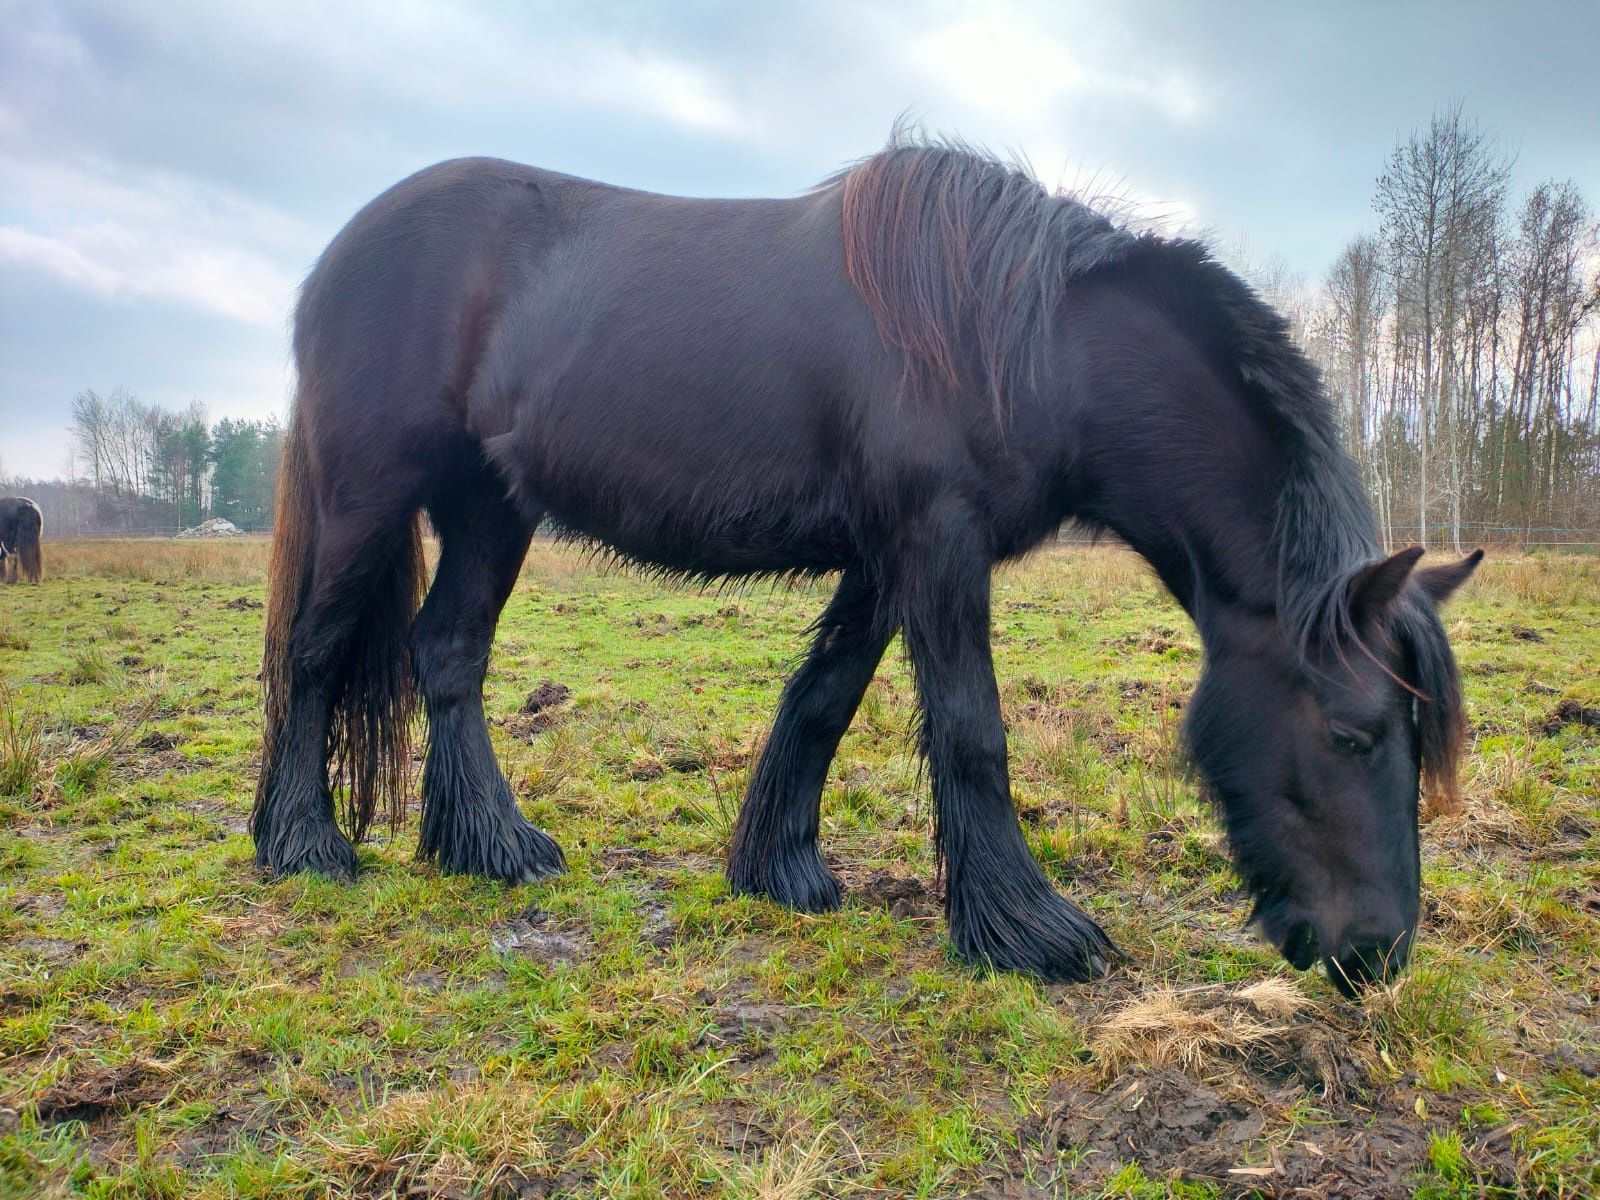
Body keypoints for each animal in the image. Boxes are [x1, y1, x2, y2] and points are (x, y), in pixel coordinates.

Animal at [256, 136, 1478, 998]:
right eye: (1354, 734)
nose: (1379, 954)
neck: (1029, 341)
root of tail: (339, 252)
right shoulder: (936, 542)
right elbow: (972, 730)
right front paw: (1029, 932)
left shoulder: (886, 557)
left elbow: (824, 699)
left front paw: (780, 871)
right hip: (371, 492)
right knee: (314, 655)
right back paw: (305, 846)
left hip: (489, 508)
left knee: (447, 654)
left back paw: (491, 848)